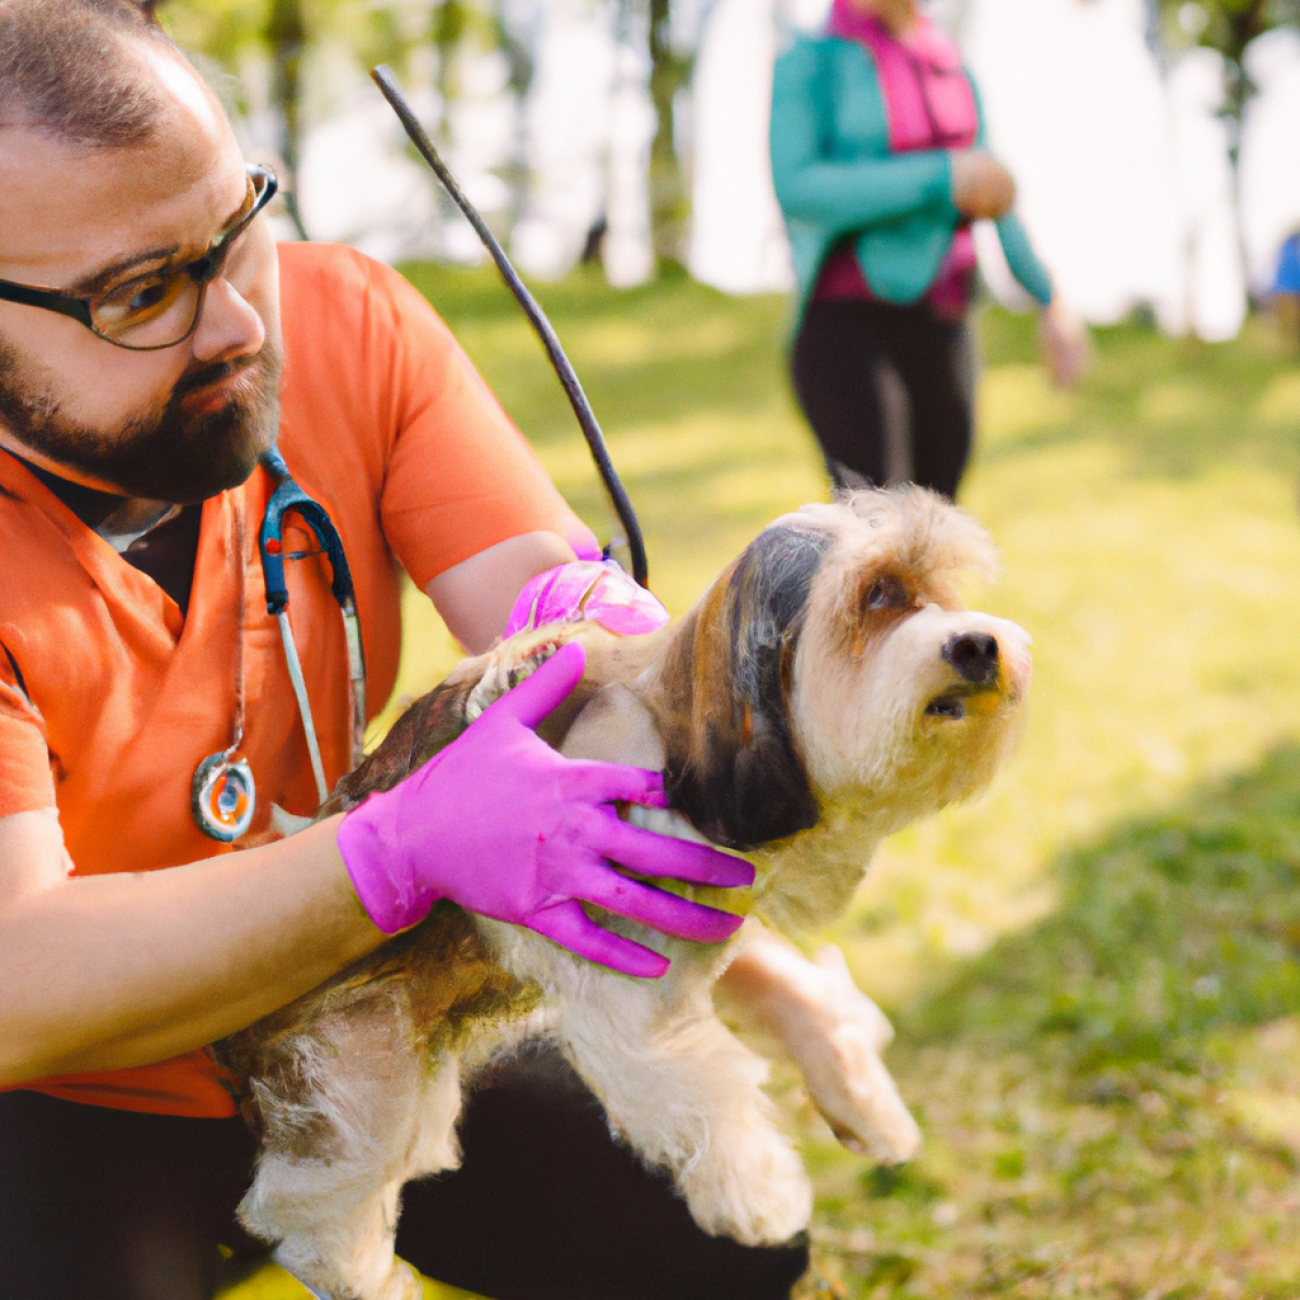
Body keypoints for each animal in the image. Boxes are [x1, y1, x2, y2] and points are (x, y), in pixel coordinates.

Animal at [213, 488, 1029, 1300]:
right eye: (877, 596)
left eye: (940, 594)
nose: (979, 645)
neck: (674, 744)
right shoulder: (624, 998)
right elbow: (704, 1089)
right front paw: (758, 1195)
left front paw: (863, 1095)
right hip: (361, 1080)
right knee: (301, 1213)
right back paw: (368, 1280)